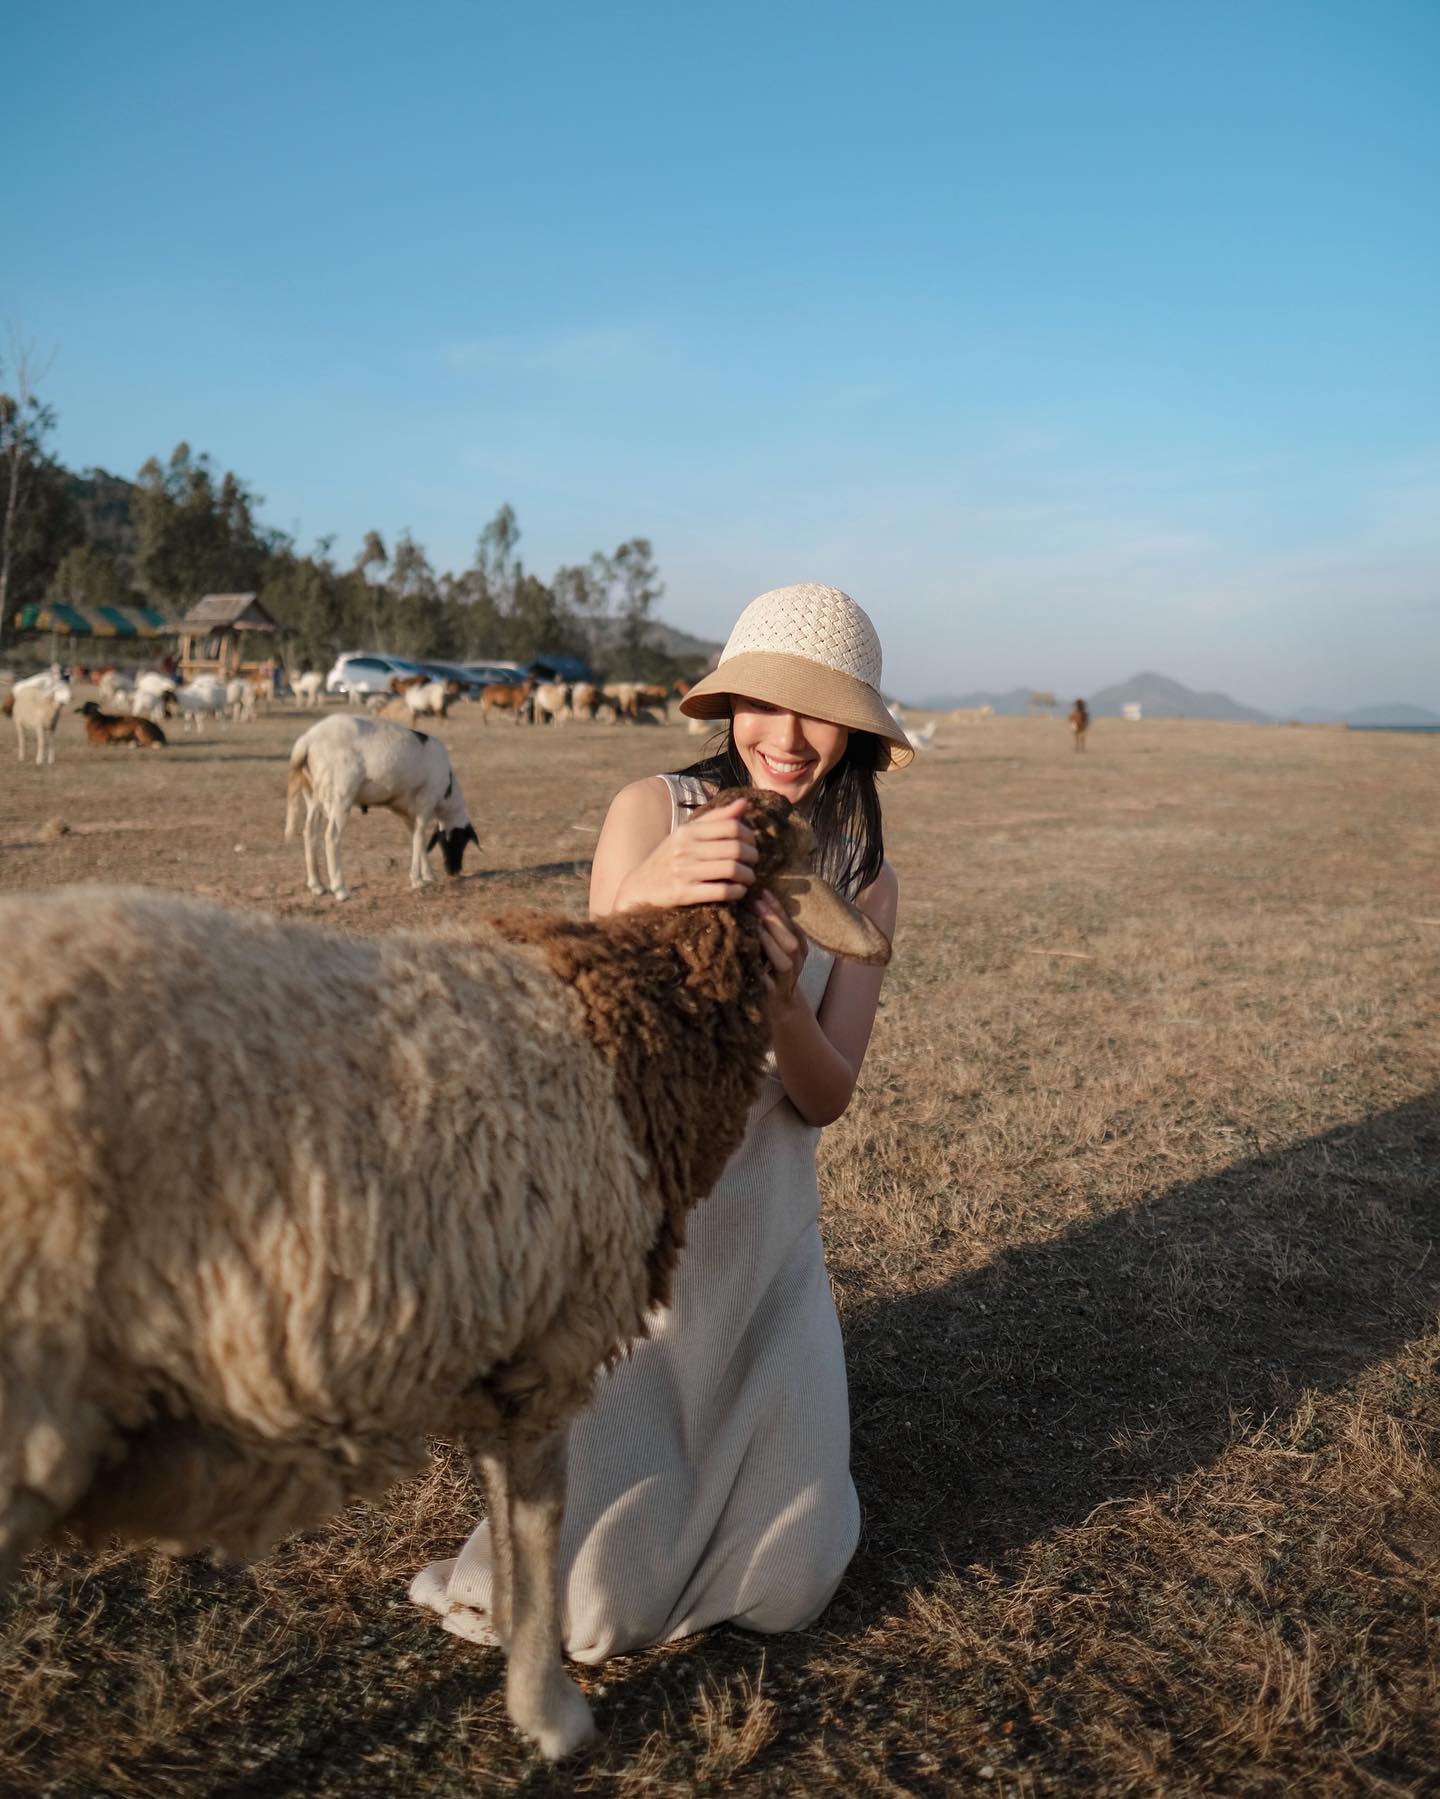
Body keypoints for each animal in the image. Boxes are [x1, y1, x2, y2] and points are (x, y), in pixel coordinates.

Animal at [0, 787, 889, 1755]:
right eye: (797, 849)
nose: (874, 943)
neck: (634, 1003)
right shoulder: (554, 1339)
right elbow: (539, 1528)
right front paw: (549, 1710)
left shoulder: (501, 1338)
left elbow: (507, 1522)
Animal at [284, 705, 482, 895]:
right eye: (460, 841)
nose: (453, 871)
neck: (447, 792)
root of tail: (308, 740)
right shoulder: (426, 803)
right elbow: (419, 838)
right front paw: (417, 880)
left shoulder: (407, 812)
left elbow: (418, 838)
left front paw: (428, 875)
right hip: (341, 795)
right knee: (331, 836)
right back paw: (340, 889)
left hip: (313, 795)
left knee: (309, 832)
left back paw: (316, 885)